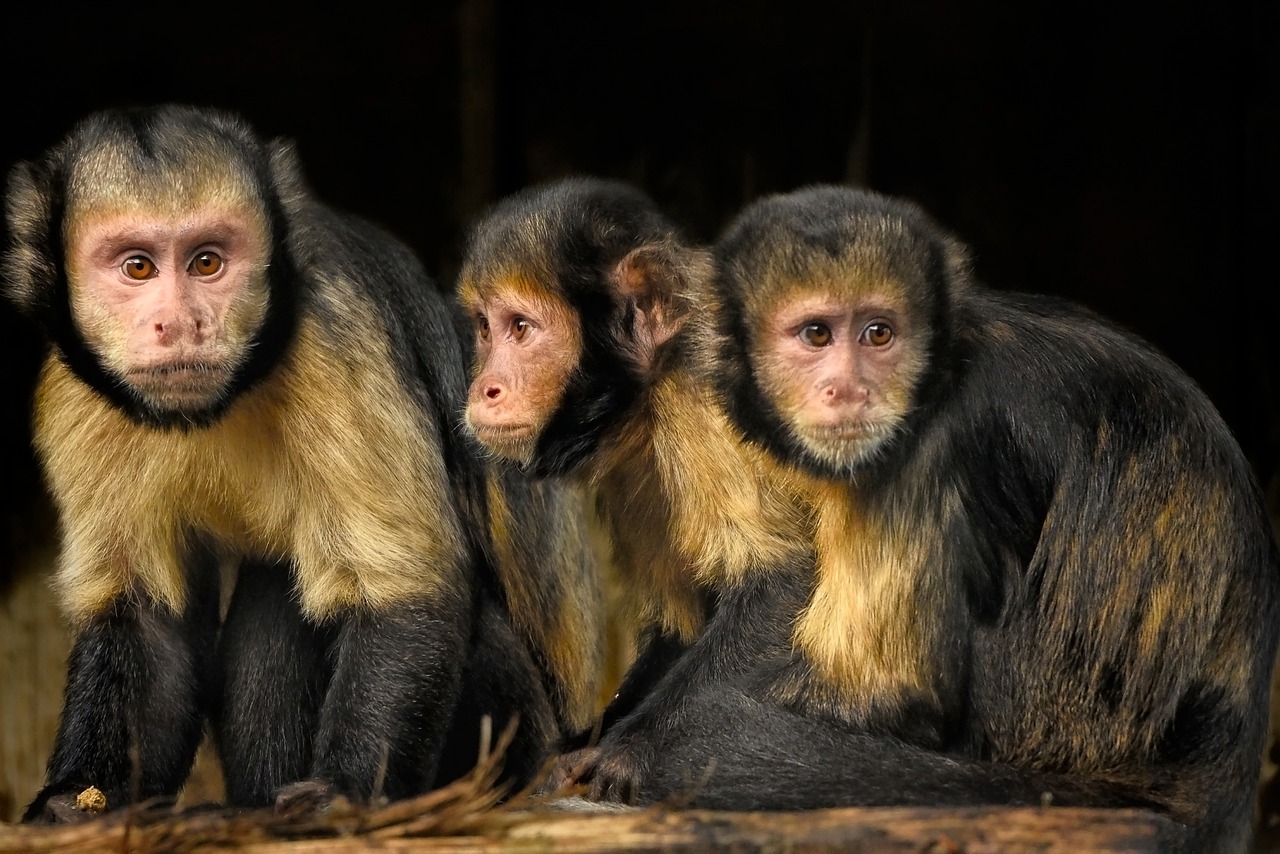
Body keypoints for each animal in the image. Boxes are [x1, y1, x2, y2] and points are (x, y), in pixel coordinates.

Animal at [2, 104, 601, 819]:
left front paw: (344, 794)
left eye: (207, 262)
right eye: (138, 268)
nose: (182, 323)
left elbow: (407, 591)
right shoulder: (70, 391)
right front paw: (77, 800)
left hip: (519, 739)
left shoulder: (336, 330)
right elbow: (146, 621)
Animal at [458, 179, 808, 804]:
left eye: (520, 328)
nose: (485, 387)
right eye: (485, 329)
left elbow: (780, 586)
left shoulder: (700, 394)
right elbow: (679, 625)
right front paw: (576, 750)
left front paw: (630, 754)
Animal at [629, 186, 1280, 854]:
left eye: (879, 334)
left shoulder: (942, 439)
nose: (851, 389)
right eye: (816, 335)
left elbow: (887, 694)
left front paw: (636, 746)